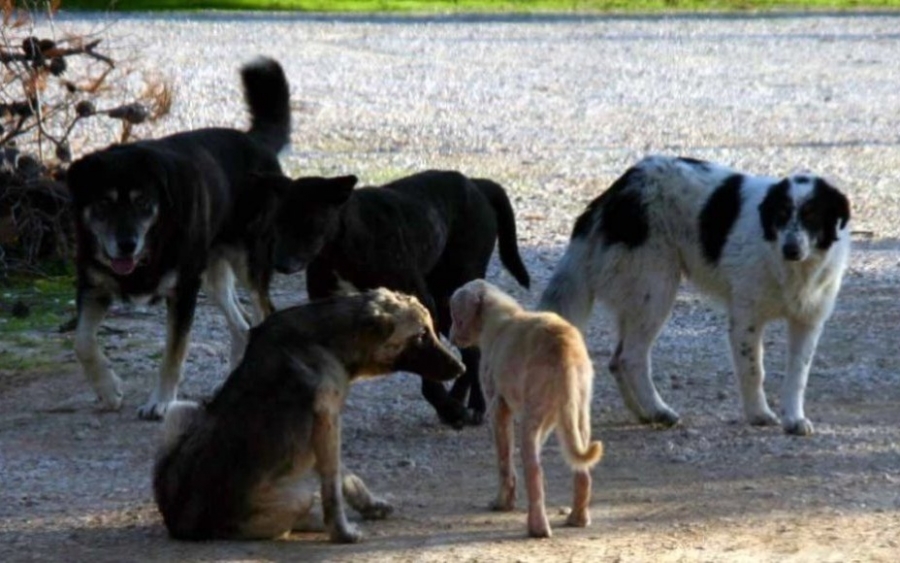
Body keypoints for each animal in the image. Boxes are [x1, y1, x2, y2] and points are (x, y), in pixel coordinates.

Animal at [67, 57, 292, 420]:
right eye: (103, 203)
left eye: (143, 202)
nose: (126, 244)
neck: (151, 244)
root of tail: (255, 141)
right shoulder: (93, 286)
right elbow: (82, 342)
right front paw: (109, 390)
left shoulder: (183, 290)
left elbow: (173, 353)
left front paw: (160, 402)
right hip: (213, 274)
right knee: (243, 326)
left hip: (248, 262)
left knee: (263, 312)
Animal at [153, 290, 464, 540]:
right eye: (421, 335)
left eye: (431, 330)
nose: (461, 368)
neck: (328, 339)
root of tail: (180, 524)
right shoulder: (327, 420)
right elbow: (332, 487)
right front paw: (342, 532)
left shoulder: (327, 427)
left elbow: (345, 476)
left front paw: (369, 506)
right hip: (296, 497)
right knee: (291, 519)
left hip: (181, 410)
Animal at [260, 171, 532, 428]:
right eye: (277, 222)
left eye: (310, 221)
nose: (279, 263)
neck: (342, 246)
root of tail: (476, 183)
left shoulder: (423, 304)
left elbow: (429, 372)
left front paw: (449, 409)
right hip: (447, 306)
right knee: (470, 352)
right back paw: (459, 399)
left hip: (453, 291)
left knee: (474, 351)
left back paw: (475, 405)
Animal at [450, 280, 604, 540]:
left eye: (455, 316)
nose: (450, 337)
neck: (500, 314)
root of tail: (565, 349)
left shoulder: (498, 408)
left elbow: (504, 461)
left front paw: (503, 503)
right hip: (578, 415)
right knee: (581, 471)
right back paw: (578, 519)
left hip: (532, 419)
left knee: (534, 471)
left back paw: (537, 528)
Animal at [540, 156, 852, 438]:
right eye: (781, 214)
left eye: (812, 216)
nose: (791, 249)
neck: (791, 268)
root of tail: (618, 189)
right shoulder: (746, 319)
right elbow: (754, 370)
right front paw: (759, 414)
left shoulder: (807, 322)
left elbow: (797, 376)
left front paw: (794, 419)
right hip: (656, 289)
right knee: (631, 357)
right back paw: (658, 410)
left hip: (638, 297)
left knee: (616, 360)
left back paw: (643, 413)